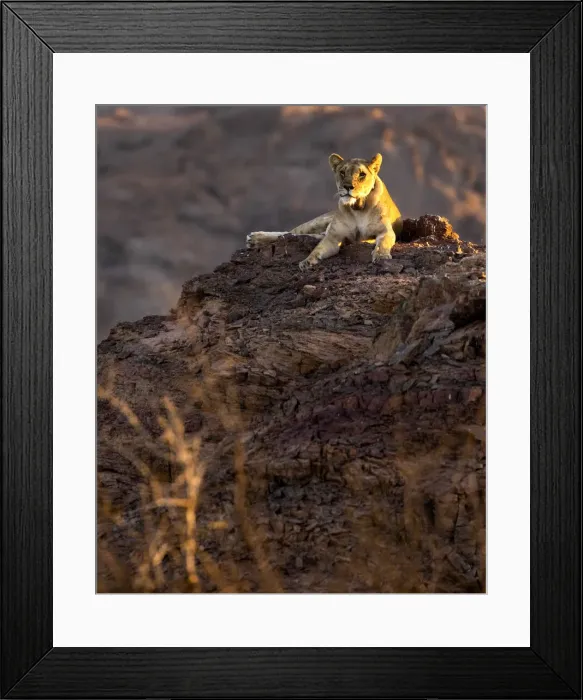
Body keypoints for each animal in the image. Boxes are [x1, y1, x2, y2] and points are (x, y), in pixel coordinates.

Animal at [246, 152, 402, 270]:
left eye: (362, 174)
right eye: (342, 172)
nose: (347, 186)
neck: (357, 208)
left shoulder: (384, 231)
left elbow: (383, 243)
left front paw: (381, 256)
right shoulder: (333, 237)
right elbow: (318, 249)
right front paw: (307, 261)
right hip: (317, 222)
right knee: (289, 233)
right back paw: (254, 238)